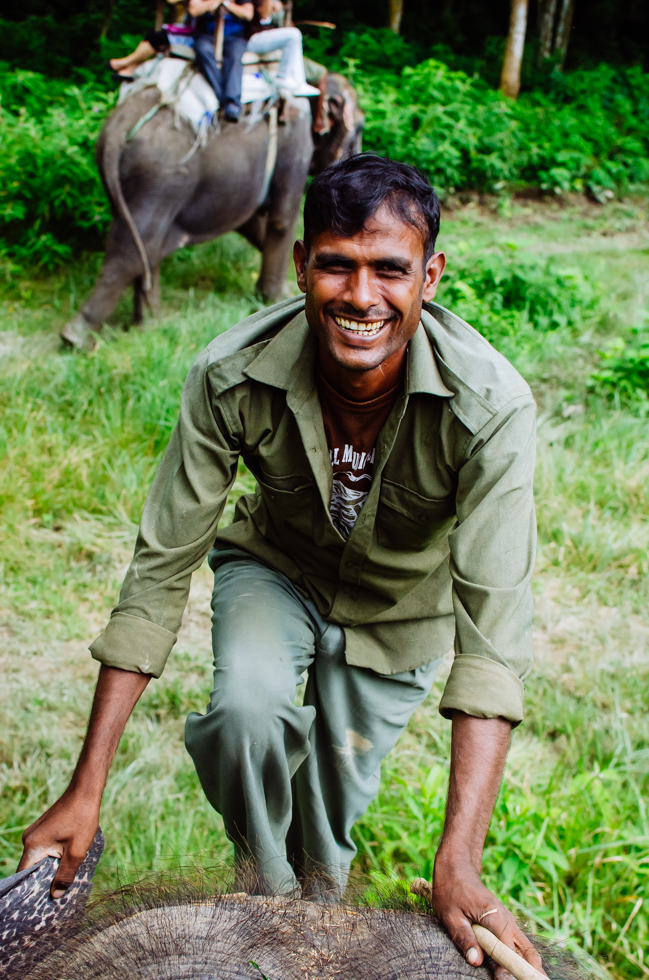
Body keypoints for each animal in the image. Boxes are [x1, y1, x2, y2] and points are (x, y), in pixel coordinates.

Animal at [61, 70, 363, 351]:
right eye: (359, 127)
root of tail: (120, 123)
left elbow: (251, 222)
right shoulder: (295, 142)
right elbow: (281, 219)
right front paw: (276, 297)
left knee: (145, 244)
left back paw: (147, 326)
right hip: (159, 178)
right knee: (131, 251)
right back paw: (75, 339)